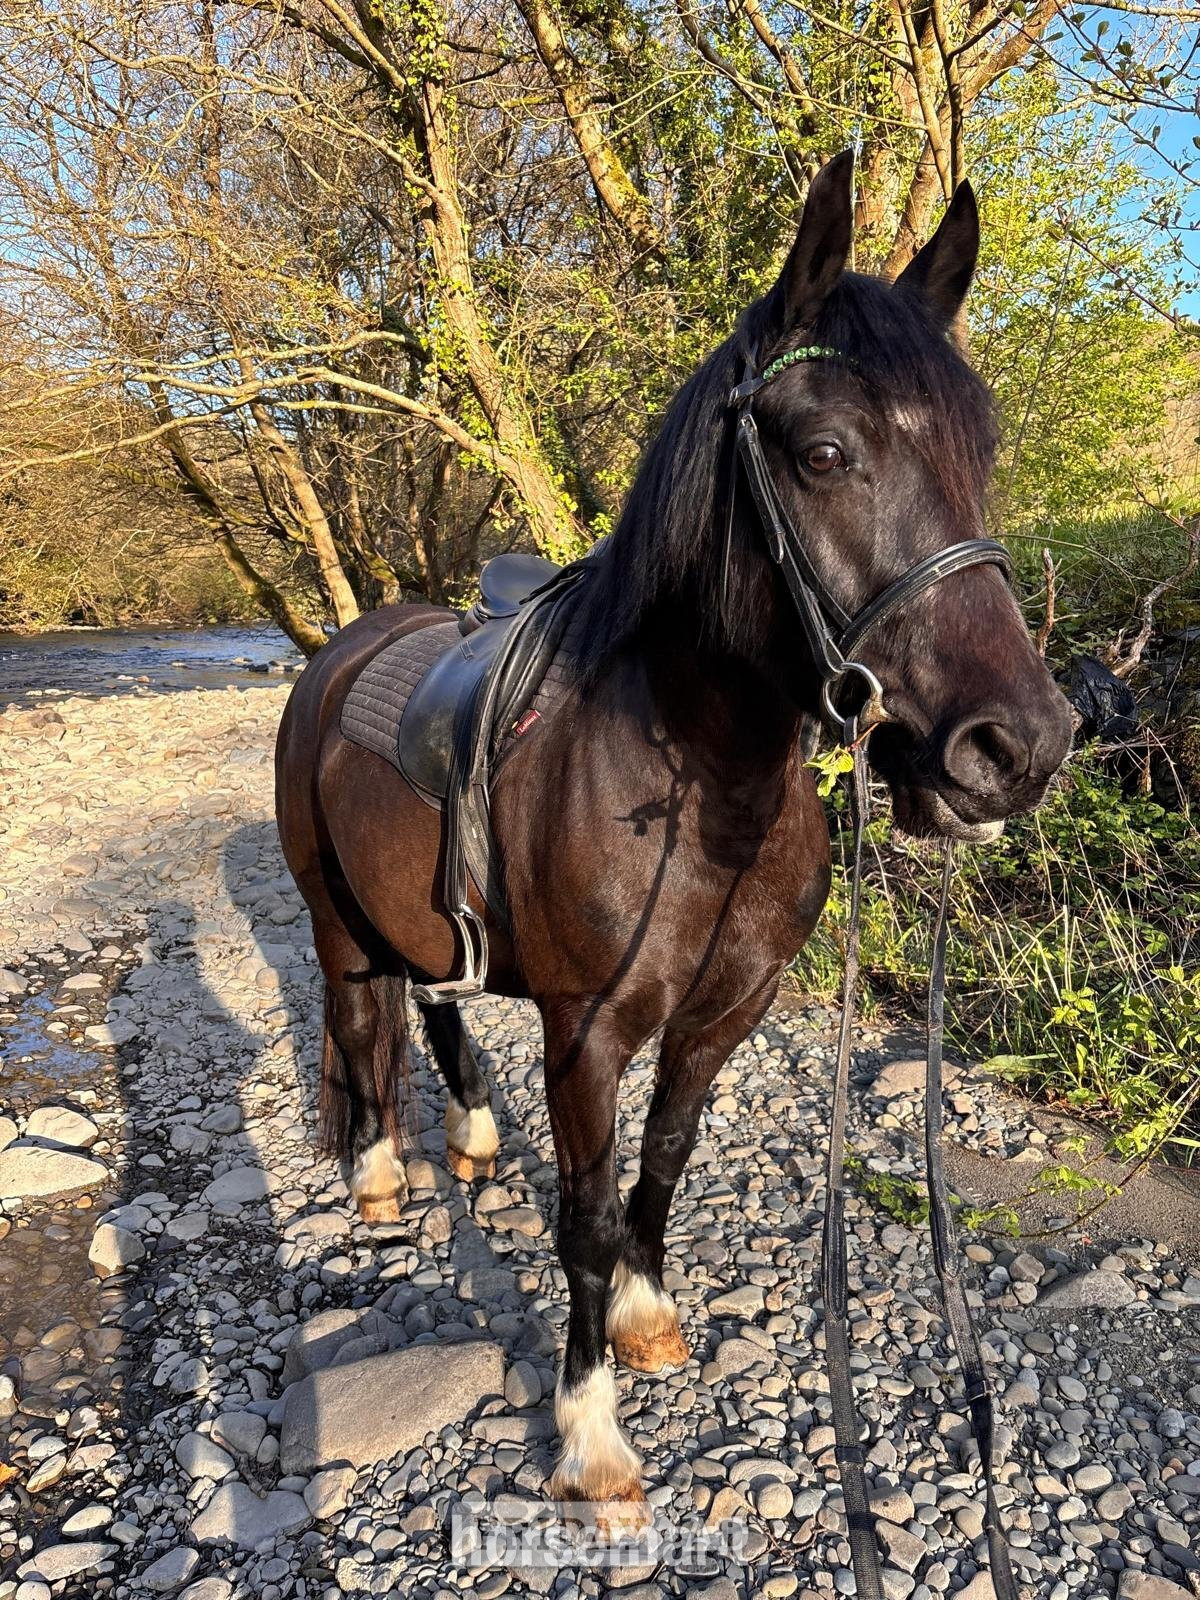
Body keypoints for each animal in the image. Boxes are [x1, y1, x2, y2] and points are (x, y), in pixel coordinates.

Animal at [274, 151, 1072, 1517]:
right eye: (823, 451)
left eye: (984, 453)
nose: (1017, 747)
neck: (702, 790)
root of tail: (341, 652)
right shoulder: (588, 1036)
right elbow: (586, 1216)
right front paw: (591, 1433)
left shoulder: (721, 1013)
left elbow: (664, 1162)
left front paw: (646, 1320)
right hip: (336, 918)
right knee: (360, 1018)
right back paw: (379, 1175)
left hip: (421, 915)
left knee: (429, 1005)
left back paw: (471, 1140)